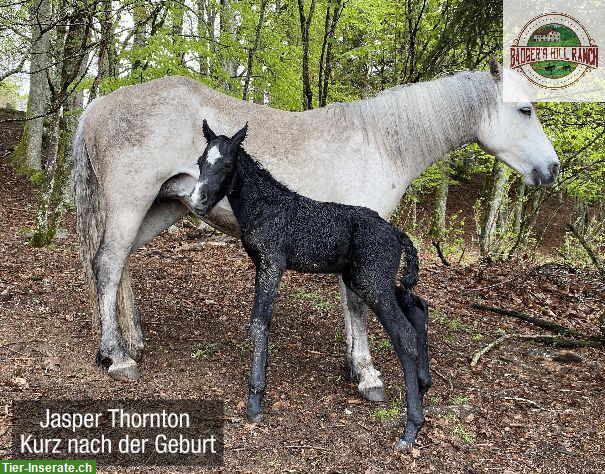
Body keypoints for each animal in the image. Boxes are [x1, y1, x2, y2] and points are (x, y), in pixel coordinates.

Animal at [191, 119, 428, 452]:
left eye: (226, 164)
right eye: (200, 162)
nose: (196, 201)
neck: (266, 205)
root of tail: (397, 234)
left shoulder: (272, 263)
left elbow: (259, 322)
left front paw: (254, 401)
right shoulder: (262, 265)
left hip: (371, 281)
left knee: (404, 333)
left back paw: (410, 429)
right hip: (368, 278)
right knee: (417, 307)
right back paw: (423, 385)